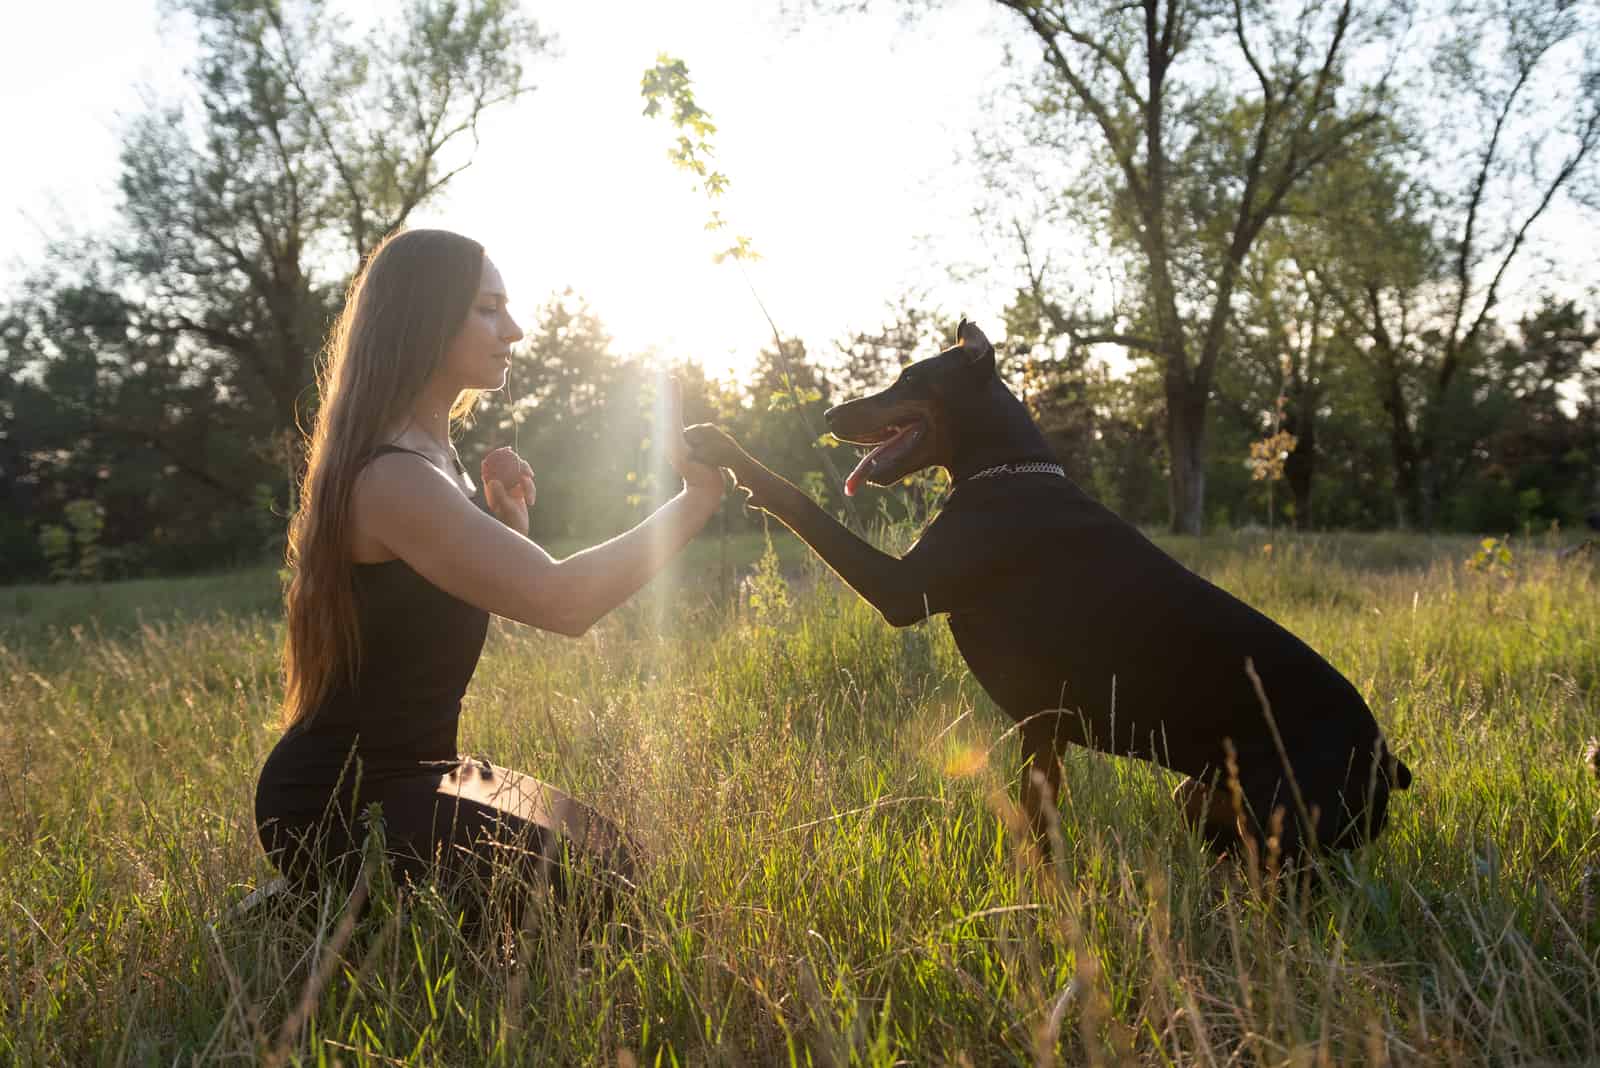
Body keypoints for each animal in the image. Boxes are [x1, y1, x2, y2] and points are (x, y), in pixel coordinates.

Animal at [681, 319, 1408, 869]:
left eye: (910, 380)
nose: (833, 412)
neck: (1007, 473)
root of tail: (1390, 764)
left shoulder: (907, 592)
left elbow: (799, 503)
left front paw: (727, 449)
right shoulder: (1045, 728)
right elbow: (1041, 828)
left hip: (1275, 808)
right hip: (1203, 798)